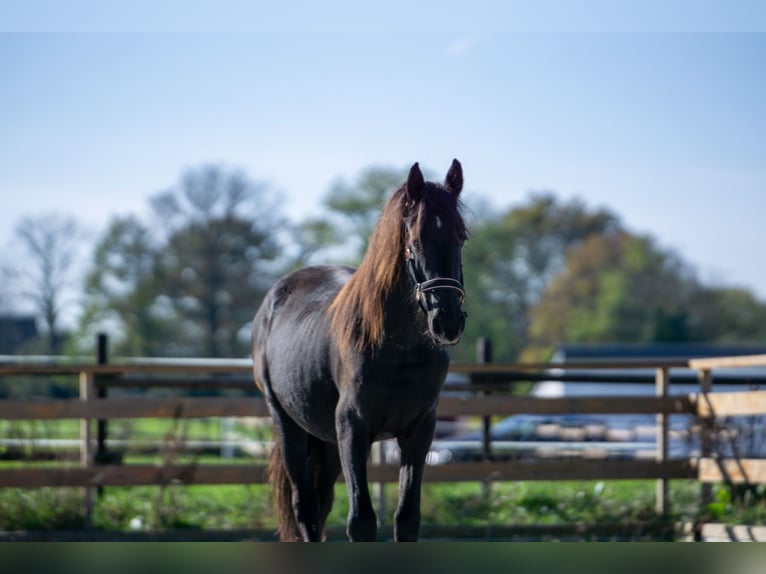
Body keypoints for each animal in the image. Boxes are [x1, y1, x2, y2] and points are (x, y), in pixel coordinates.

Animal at [254, 160, 468, 544]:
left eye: (462, 237)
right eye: (415, 240)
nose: (448, 321)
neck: (399, 351)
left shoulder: (419, 430)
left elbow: (407, 518)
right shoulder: (353, 429)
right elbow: (362, 521)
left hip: (325, 439)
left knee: (321, 501)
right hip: (287, 423)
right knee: (304, 505)